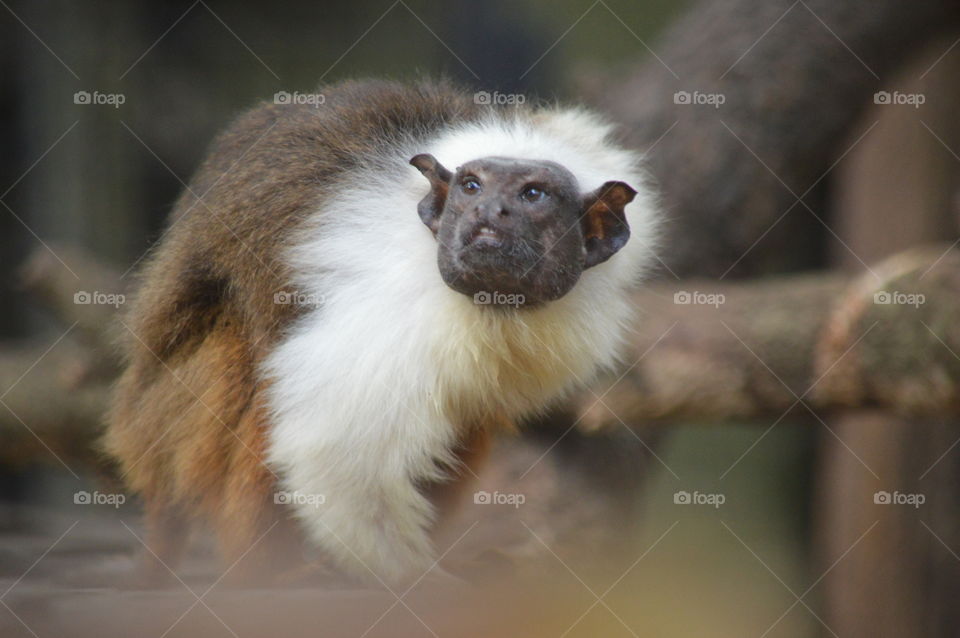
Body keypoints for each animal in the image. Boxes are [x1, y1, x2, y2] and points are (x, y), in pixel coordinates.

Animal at [104, 78, 658, 588]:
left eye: (532, 194)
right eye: (472, 188)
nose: (488, 214)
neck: (491, 309)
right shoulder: (389, 311)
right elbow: (333, 451)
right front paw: (417, 577)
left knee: (465, 419)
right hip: (171, 425)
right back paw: (265, 572)